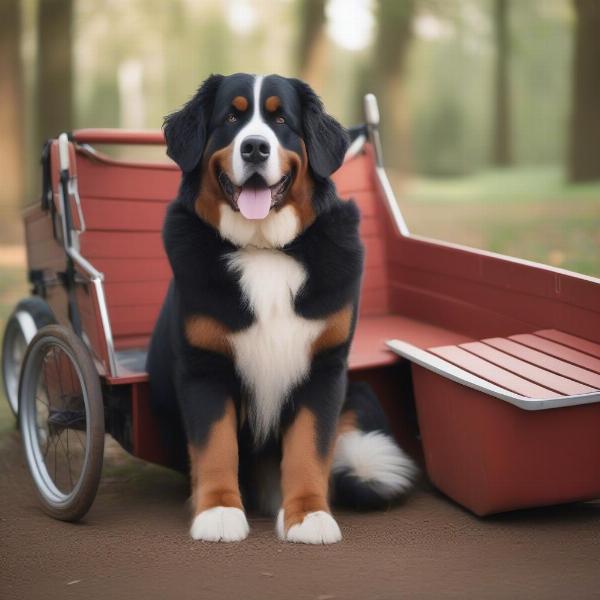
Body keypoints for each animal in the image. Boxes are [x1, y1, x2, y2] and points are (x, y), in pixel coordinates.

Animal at [148, 74, 414, 544]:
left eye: (281, 120)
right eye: (231, 117)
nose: (255, 147)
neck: (265, 249)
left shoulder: (324, 367)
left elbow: (310, 447)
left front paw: (309, 516)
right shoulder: (205, 366)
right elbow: (216, 446)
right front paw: (218, 511)